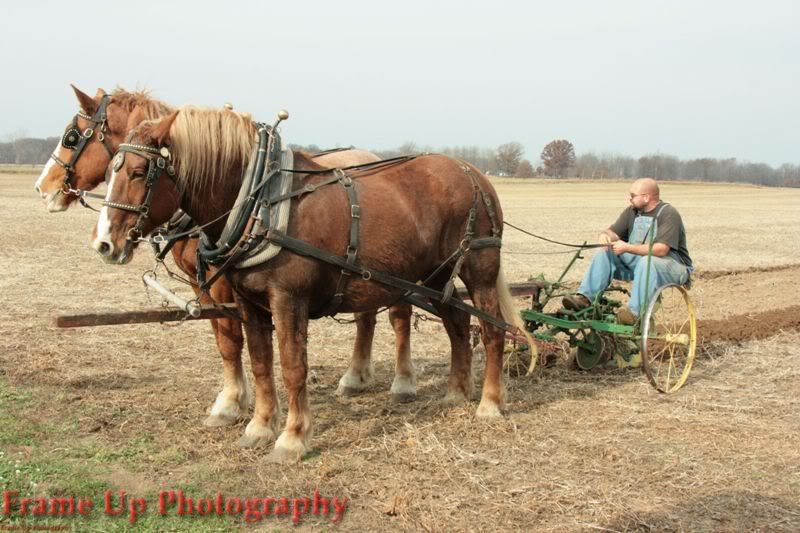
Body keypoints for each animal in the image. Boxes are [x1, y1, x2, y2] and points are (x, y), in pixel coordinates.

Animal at [34, 86, 416, 428]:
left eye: (71, 137)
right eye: (111, 169)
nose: (43, 188)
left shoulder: (225, 285)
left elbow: (233, 338)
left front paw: (231, 403)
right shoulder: (201, 282)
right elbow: (223, 337)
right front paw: (240, 400)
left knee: (399, 315)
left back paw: (402, 383)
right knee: (366, 317)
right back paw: (355, 376)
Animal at [92, 106, 532, 460]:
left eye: (138, 172)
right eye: (110, 169)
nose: (105, 243)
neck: (261, 203)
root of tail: (474, 174)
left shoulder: (289, 300)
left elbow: (292, 366)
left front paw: (292, 438)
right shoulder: (249, 301)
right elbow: (260, 363)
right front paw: (259, 426)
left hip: (478, 270)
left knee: (491, 331)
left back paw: (490, 403)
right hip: (437, 276)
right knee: (458, 326)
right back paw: (456, 392)